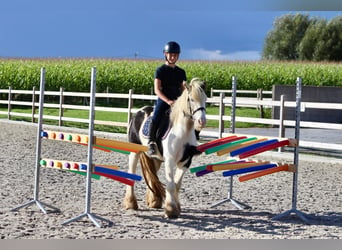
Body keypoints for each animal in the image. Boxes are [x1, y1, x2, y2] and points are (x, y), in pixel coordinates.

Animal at [124, 77, 207, 218]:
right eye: (191, 99)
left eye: (205, 99)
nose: (202, 121)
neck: (182, 131)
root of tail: (139, 111)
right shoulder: (170, 160)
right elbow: (171, 185)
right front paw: (170, 210)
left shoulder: (186, 161)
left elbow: (177, 185)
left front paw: (176, 208)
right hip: (135, 152)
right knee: (131, 174)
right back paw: (131, 203)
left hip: (155, 158)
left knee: (152, 176)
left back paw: (154, 201)